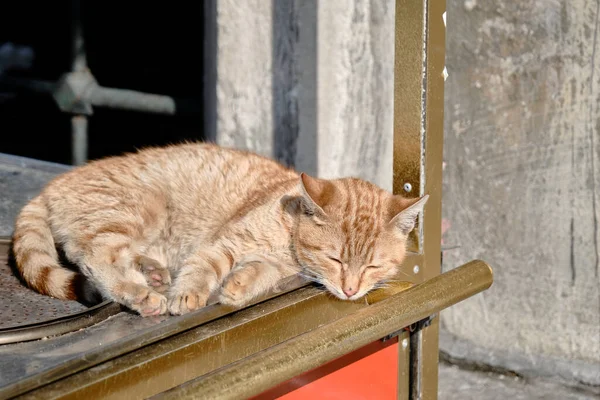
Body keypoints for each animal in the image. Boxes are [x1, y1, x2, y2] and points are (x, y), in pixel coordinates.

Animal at [11, 143, 428, 316]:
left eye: (372, 267)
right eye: (336, 259)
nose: (350, 290)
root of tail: (50, 187)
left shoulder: (276, 265)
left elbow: (259, 273)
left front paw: (238, 286)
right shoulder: (225, 241)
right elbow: (203, 267)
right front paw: (189, 295)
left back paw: (153, 274)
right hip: (137, 209)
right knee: (96, 257)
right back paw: (142, 294)